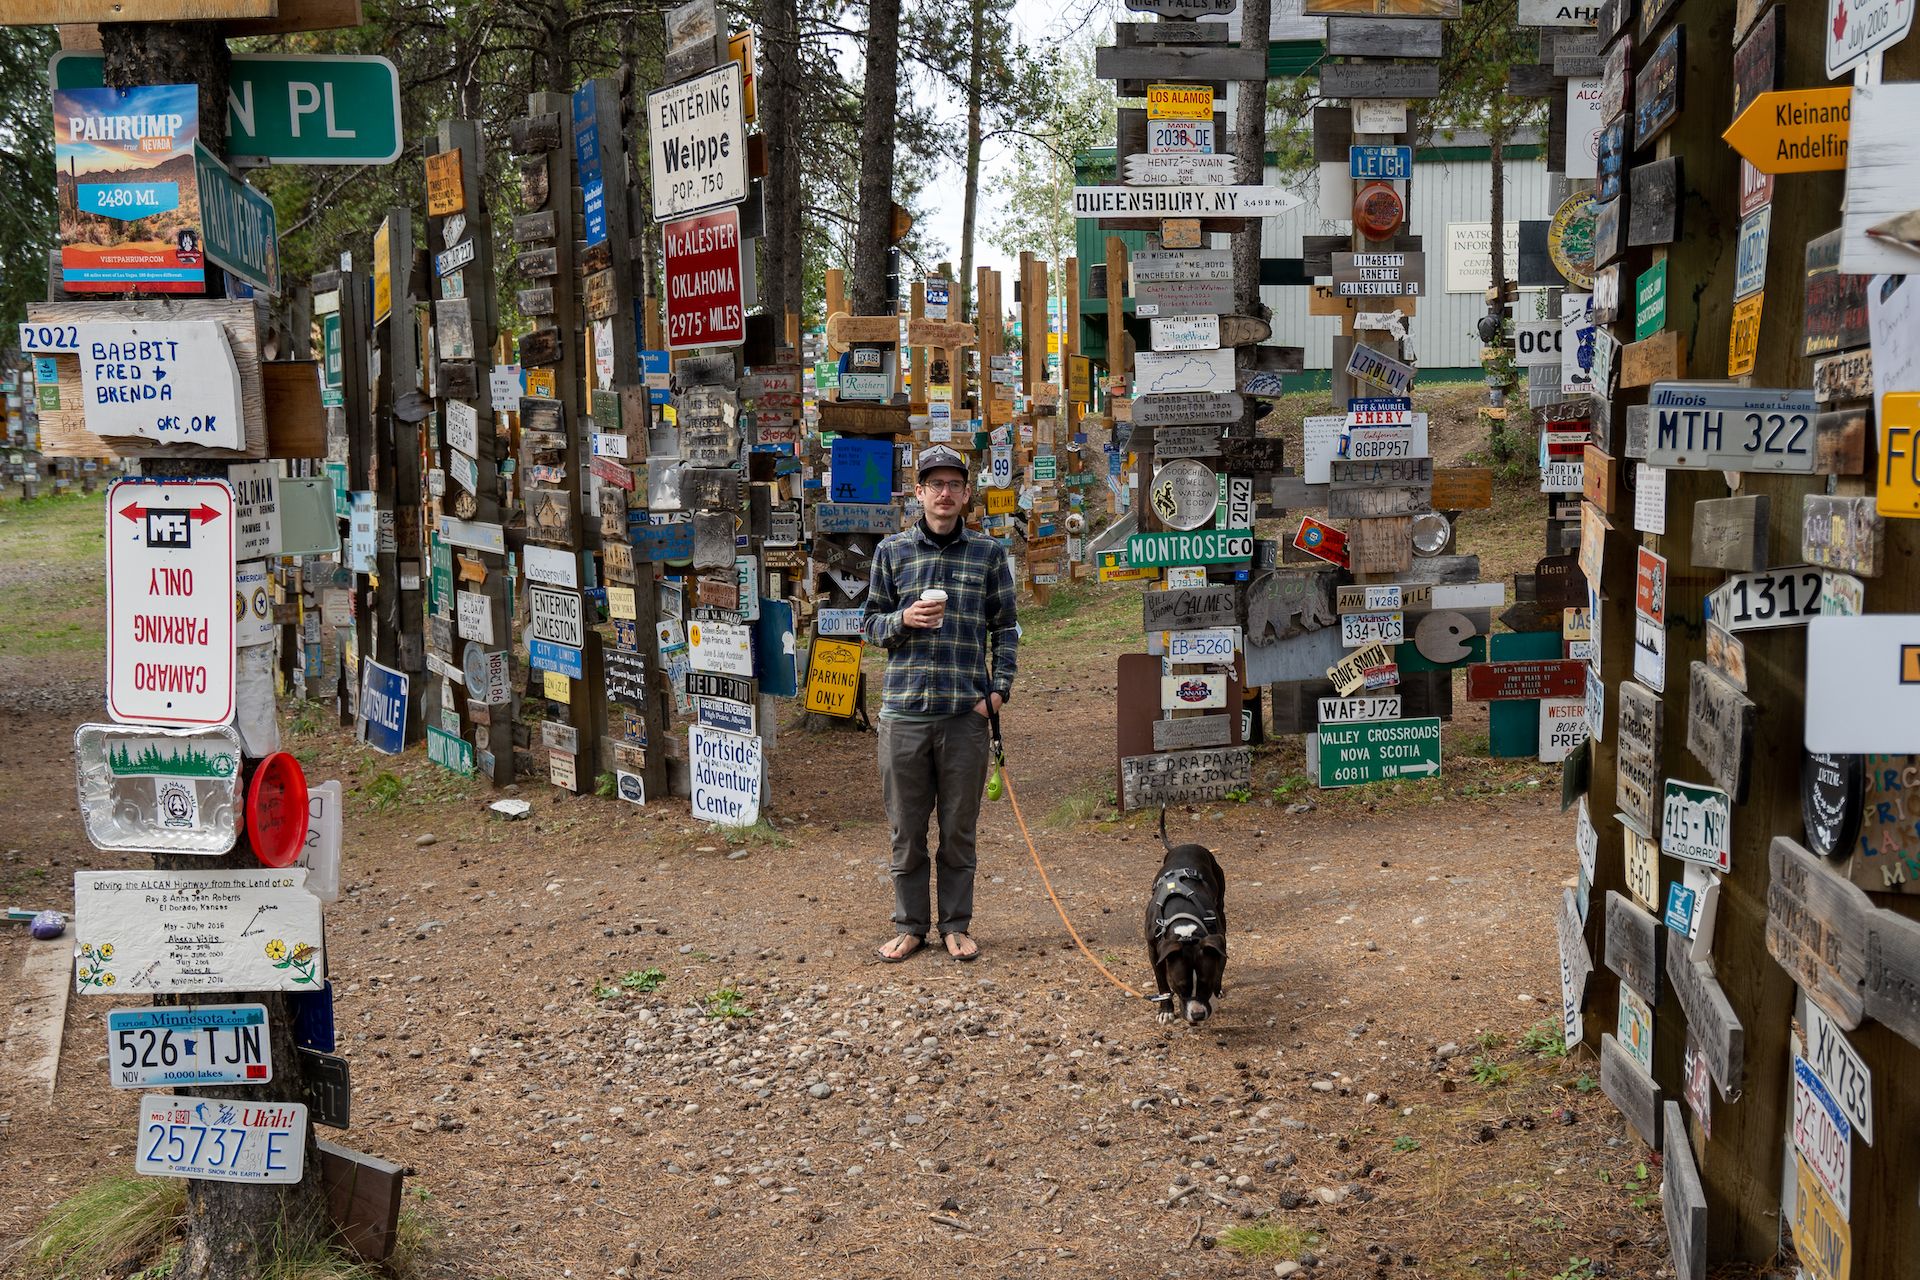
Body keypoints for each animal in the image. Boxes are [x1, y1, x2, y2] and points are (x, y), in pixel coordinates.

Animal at [1144, 809, 1221, 1028]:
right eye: (1180, 987)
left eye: (1206, 984)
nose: (1198, 1014)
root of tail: (1184, 845)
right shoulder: (1154, 951)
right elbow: (1161, 983)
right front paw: (1166, 1010)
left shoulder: (1218, 940)